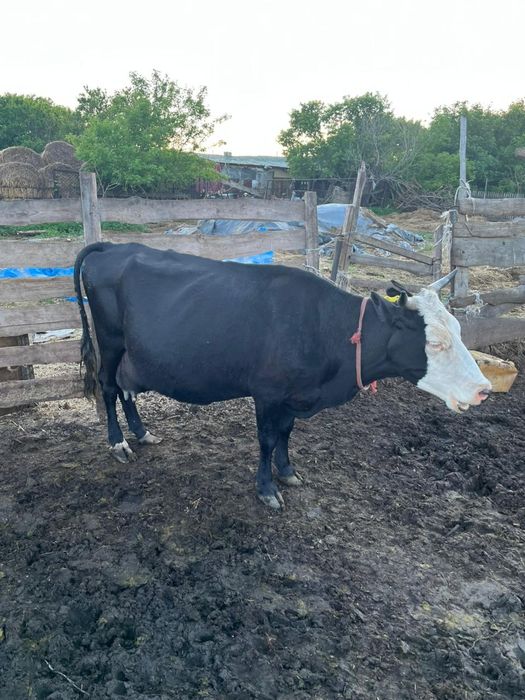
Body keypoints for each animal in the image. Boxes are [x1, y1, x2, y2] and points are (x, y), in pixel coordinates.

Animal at [73, 242, 491, 509]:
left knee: (127, 389)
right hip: (110, 341)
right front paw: (266, 489)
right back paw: (118, 443)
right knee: (108, 388)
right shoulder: (268, 393)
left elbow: (286, 434)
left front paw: (288, 472)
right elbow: (266, 439)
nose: (484, 389)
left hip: (131, 352)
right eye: (434, 342)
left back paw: (142, 432)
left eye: (457, 328)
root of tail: (114, 247)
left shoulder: (294, 396)